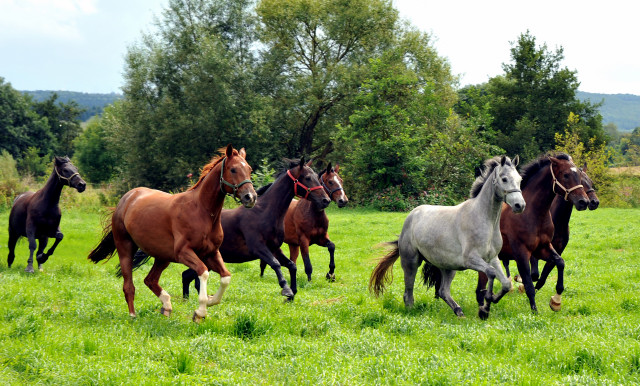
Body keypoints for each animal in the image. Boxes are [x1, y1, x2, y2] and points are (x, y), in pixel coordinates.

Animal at [88, 146, 258, 322]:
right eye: (233, 169)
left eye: (249, 169)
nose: (250, 197)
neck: (202, 212)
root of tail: (127, 198)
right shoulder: (184, 253)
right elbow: (203, 273)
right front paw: (200, 312)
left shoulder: (211, 253)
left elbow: (226, 277)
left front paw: (211, 301)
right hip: (126, 248)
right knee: (129, 285)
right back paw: (133, 315)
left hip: (163, 257)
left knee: (150, 280)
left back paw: (167, 306)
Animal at [180, 158, 330, 302]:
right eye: (307, 177)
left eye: (316, 176)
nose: (326, 200)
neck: (264, 212)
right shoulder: (258, 248)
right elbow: (276, 265)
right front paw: (287, 290)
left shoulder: (275, 249)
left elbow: (292, 265)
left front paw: (292, 295)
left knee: (187, 276)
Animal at [370, 155, 524, 320]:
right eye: (504, 179)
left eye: (519, 179)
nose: (519, 205)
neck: (484, 219)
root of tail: (412, 215)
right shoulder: (471, 259)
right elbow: (491, 273)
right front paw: (485, 308)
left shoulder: (492, 258)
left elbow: (506, 284)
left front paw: (490, 303)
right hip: (411, 261)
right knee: (408, 291)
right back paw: (411, 311)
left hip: (448, 267)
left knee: (443, 291)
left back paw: (459, 311)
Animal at [476, 152, 592, 312]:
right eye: (566, 175)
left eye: (580, 176)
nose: (584, 202)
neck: (534, 213)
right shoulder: (522, 252)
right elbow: (530, 282)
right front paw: (534, 310)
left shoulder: (544, 247)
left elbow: (559, 263)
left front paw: (556, 301)